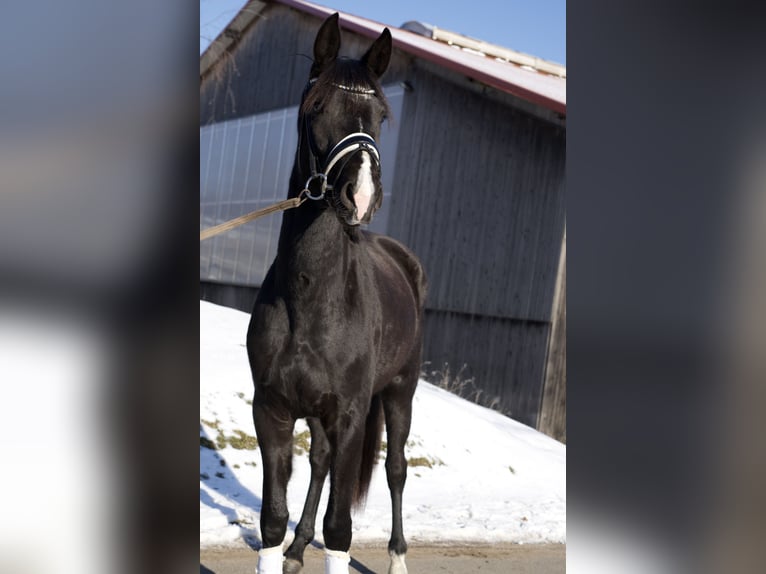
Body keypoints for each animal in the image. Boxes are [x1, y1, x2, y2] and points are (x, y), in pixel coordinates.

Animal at [248, 12, 426, 574]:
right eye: (316, 107)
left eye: (382, 115)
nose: (361, 195)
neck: (313, 298)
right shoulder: (273, 410)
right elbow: (272, 520)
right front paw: (287, 545)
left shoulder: (349, 415)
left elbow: (340, 528)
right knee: (321, 461)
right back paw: (299, 548)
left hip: (400, 393)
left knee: (395, 469)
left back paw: (396, 557)